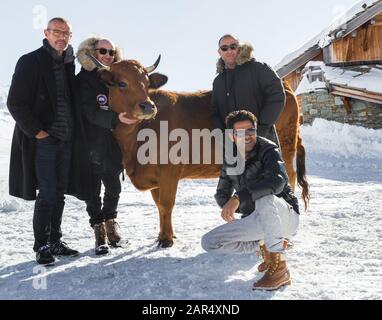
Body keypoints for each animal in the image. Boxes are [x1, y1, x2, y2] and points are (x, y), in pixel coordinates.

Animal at [91, 56, 308, 248]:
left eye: (146, 83)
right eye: (121, 83)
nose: (148, 106)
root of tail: (284, 84)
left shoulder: (169, 171)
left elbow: (166, 204)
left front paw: (166, 239)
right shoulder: (154, 176)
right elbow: (159, 205)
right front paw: (163, 234)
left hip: (286, 145)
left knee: (289, 177)